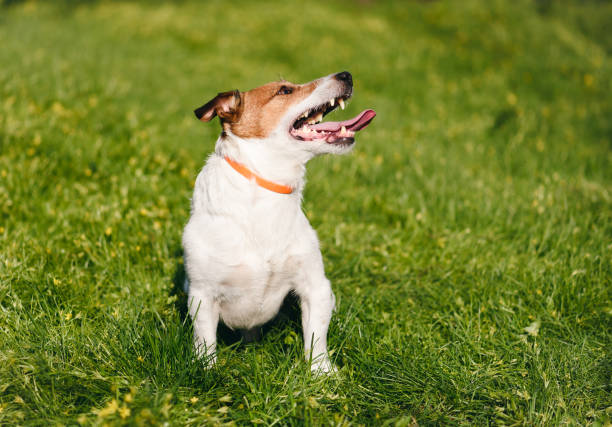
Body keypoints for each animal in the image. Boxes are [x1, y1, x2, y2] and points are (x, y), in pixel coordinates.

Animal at [180, 72, 372, 372]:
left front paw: (322, 373)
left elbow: (316, 338)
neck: (266, 190)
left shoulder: (315, 286)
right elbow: (205, 342)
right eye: (284, 91)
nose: (346, 74)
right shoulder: (202, 294)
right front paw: (205, 371)